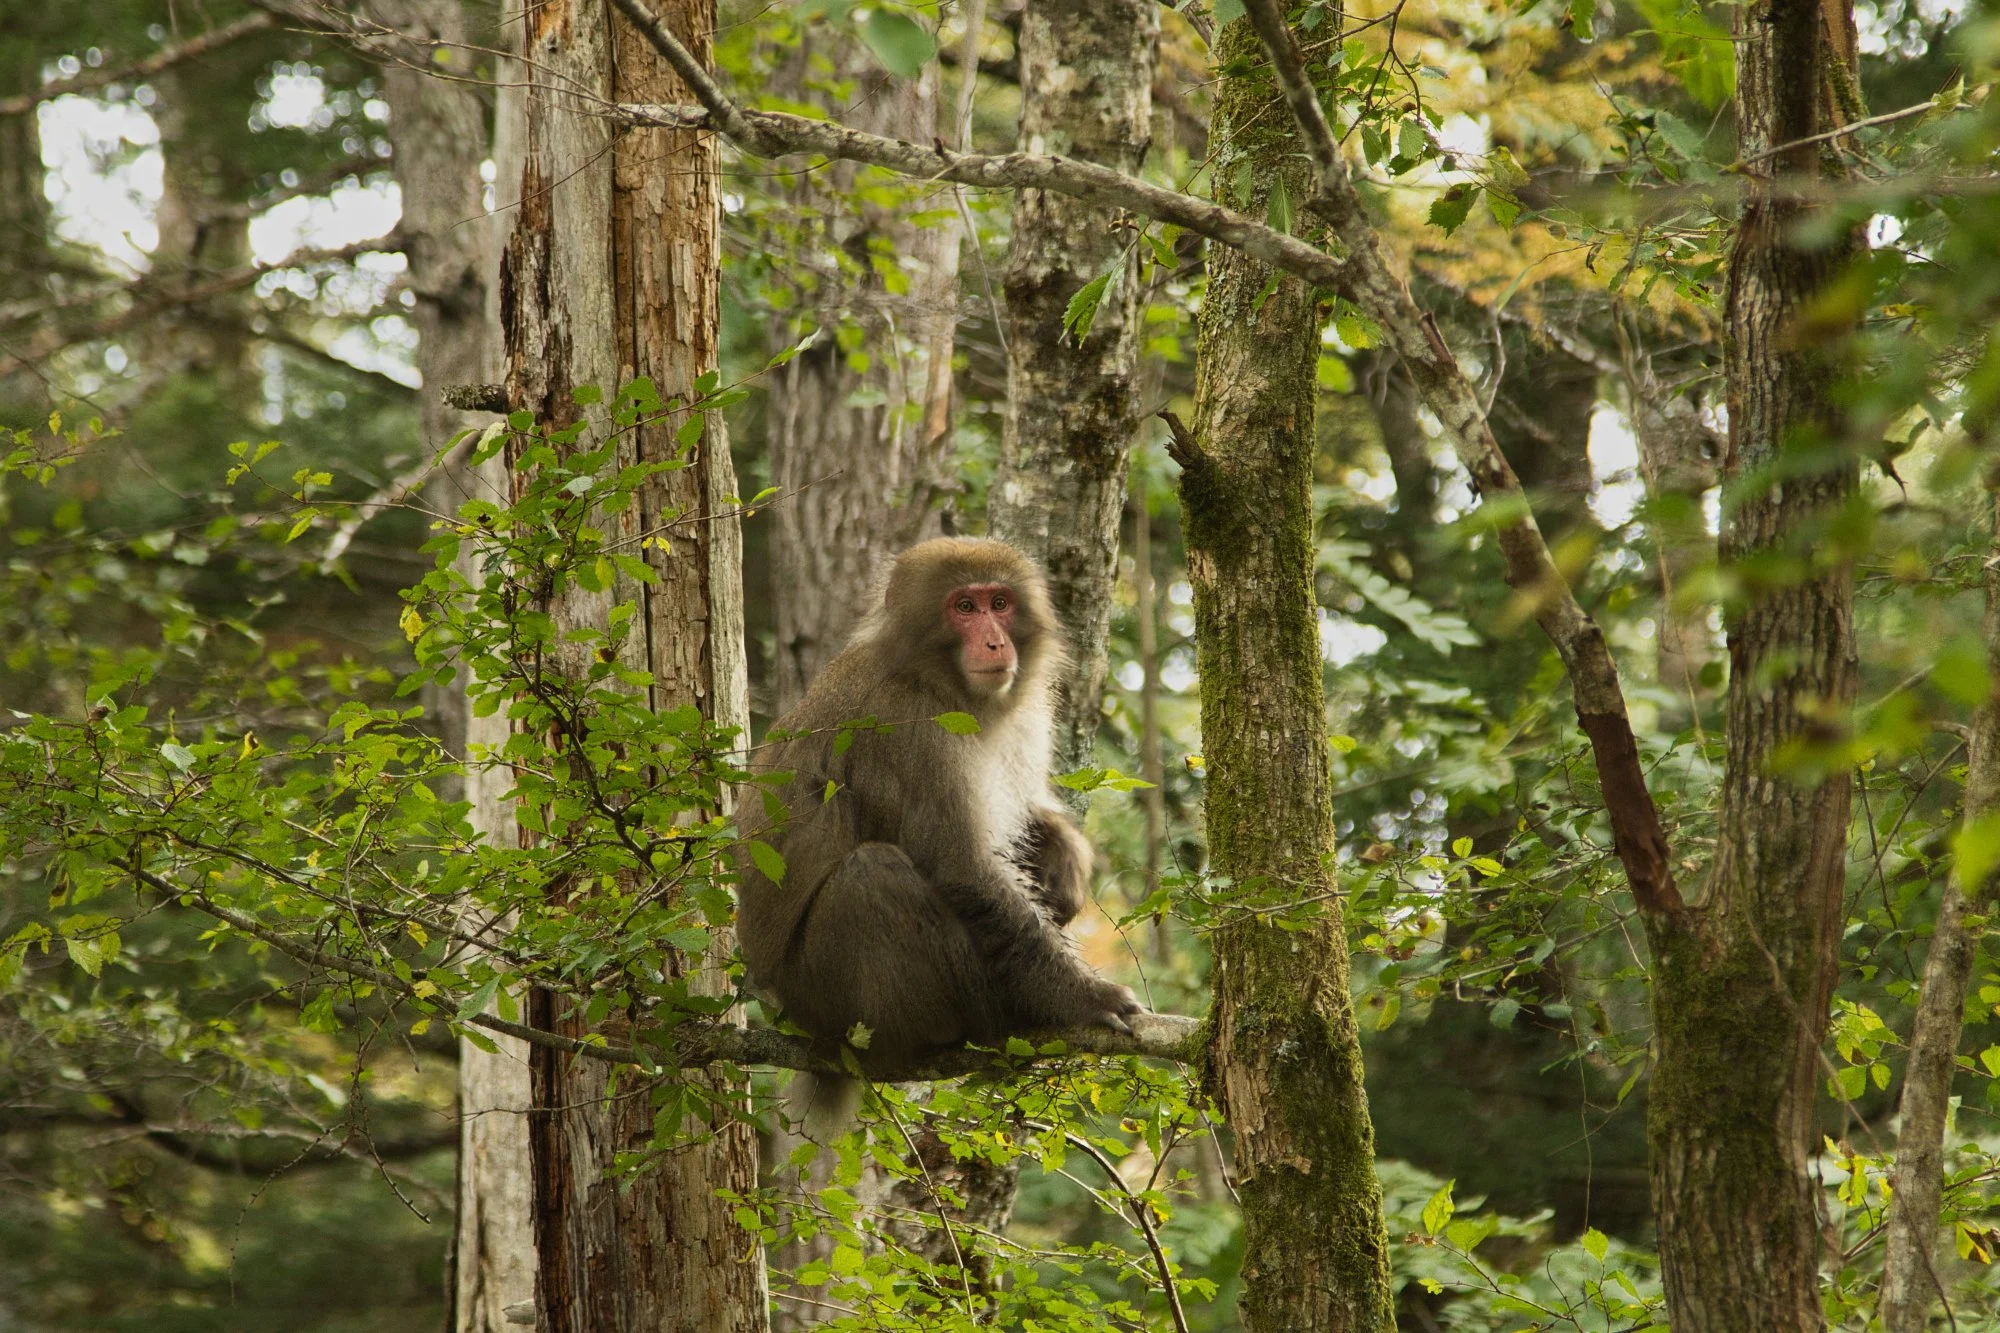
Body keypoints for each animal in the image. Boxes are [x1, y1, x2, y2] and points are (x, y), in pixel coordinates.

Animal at [737, 538, 1143, 1131]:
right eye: (964, 608)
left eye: (1000, 602)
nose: (995, 640)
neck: (938, 679)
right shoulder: (909, 727)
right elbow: (962, 869)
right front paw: (1085, 996)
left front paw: (1063, 857)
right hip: (824, 1000)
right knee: (871, 876)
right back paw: (979, 1029)